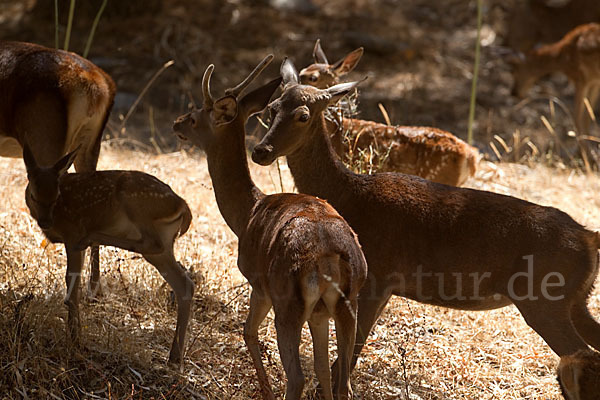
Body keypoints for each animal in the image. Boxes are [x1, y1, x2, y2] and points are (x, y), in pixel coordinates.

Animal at [21, 145, 192, 364]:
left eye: (56, 195)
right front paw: (75, 335)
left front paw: (75, 340)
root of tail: (183, 206)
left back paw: (93, 236)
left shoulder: (72, 234)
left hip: (135, 202)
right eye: (34, 195)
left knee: (151, 244)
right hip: (164, 247)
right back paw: (174, 358)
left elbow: (71, 281)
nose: (45, 222)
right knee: (184, 283)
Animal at [171, 54, 368, 398]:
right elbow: (322, 369)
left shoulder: (257, 282)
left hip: (287, 301)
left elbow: (247, 333)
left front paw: (265, 389)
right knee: (342, 379)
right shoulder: (319, 314)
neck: (247, 213)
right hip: (347, 304)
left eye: (195, 118)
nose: (177, 123)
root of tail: (329, 260)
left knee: (297, 376)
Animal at [251, 57, 600, 392]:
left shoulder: (376, 278)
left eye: (303, 115)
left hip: (545, 297)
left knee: (581, 355)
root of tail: (589, 238)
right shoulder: (385, 287)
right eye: (272, 107)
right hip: (575, 300)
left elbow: (345, 363)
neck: (348, 195)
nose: (260, 151)